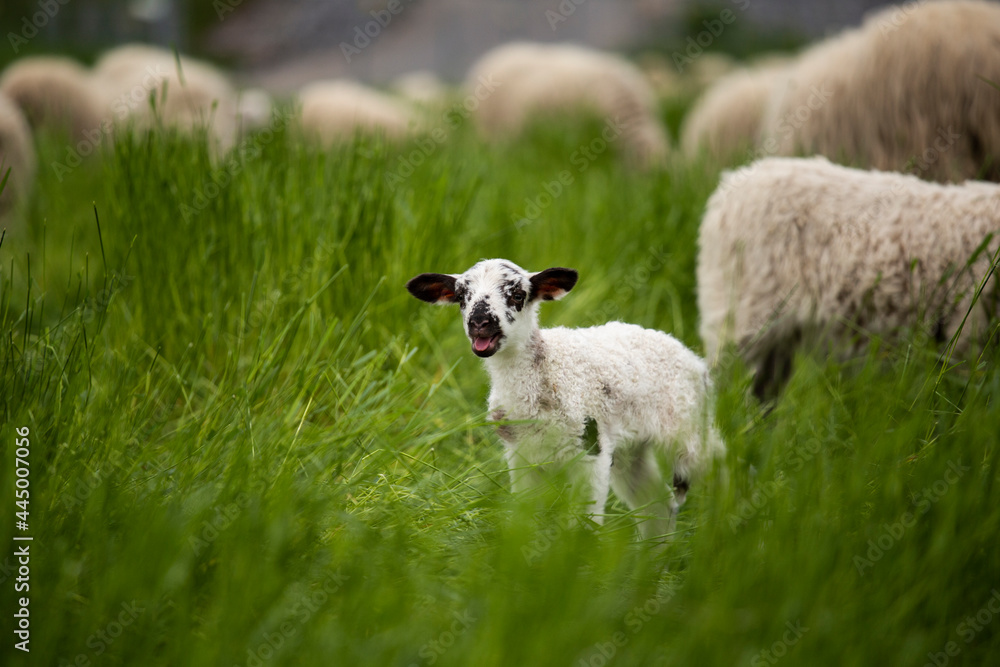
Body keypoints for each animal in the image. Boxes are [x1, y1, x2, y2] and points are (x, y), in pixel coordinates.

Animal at [406, 258, 728, 540]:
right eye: (462, 297)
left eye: (518, 294)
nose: (479, 322)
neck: (545, 369)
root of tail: (692, 358)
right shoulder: (522, 454)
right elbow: (526, 515)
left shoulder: (591, 449)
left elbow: (585, 524)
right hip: (632, 449)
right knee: (658, 505)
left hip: (689, 428)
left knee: (718, 469)